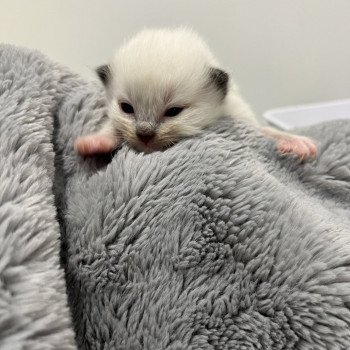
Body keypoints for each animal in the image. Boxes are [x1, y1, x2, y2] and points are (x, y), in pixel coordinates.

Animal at [74, 27, 318, 159]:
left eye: (173, 111)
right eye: (127, 108)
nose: (144, 135)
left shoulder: (238, 115)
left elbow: (264, 131)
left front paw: (295, 142)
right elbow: (112, 126)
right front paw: (95, 142)